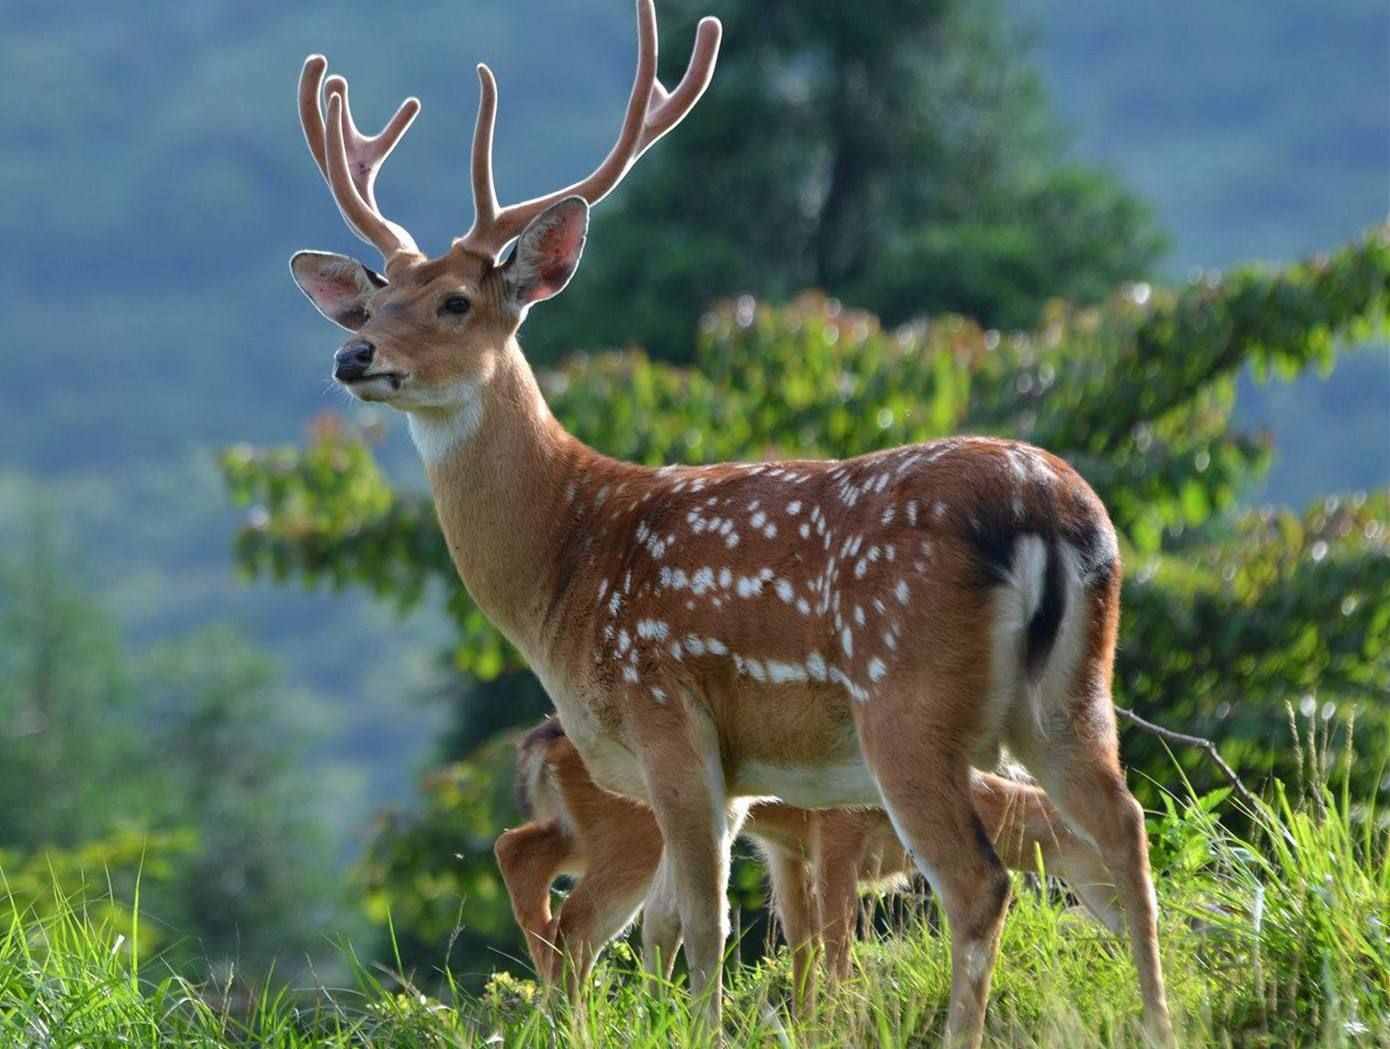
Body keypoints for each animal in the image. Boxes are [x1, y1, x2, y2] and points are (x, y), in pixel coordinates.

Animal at [494, 716, 1123, 1011]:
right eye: (1108, 854)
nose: (1133, 919)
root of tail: (541, 743)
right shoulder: (836, 833)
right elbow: (837, 944)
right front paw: (843, 1016)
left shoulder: (788, 850)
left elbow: (803, 948)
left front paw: (809, 1022)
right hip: (632, 833)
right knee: (577, 925)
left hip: (587, 829)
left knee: (519, 850)